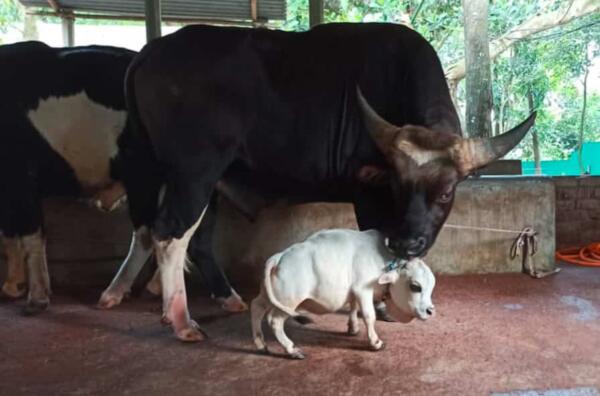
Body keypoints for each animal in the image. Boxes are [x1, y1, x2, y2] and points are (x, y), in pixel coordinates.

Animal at [0, 41, 245, 314]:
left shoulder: (20, 174)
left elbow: (30, 235)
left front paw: (37, 297)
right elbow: (9, 233)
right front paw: (12, 286)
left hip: (148, 177)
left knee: (153, 232)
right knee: (188, 235)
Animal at [117, 22, 536, 344]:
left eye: (446, 191)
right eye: (395, 186)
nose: (408, 242)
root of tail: (150, 51)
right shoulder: (366, 194)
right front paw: (379, 302)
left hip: (195, 178)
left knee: (185, 236)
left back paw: (215, 297)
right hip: (195, 172)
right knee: (170, 234)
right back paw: (181, 320)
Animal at [250, 227, 436, 360]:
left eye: (432, 286)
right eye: (415, 286)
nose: (430, 311)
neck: (383, 261)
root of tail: (279, 256)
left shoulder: (354, 291)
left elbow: (353, 307)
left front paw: (353, 328)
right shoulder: (363, 288)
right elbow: (369, 315)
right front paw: (375, 342)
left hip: (269, 295)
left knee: (256, 307)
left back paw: (261, 344)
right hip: (289, 300)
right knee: (274, 320)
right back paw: (292, 349)